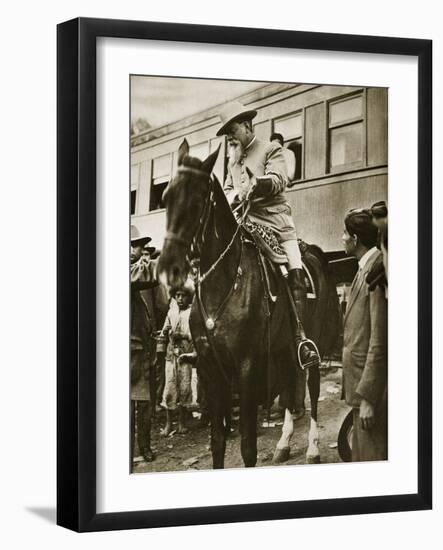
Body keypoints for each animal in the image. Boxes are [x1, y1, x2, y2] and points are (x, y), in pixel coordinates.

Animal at [159, 140, 340, 468]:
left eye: (197, 198)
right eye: (166, 197)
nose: (169, 268)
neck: (226, 280)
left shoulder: (247, 366)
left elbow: (247, 447)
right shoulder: (211, 368)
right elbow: (218, 443)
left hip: (312, 344)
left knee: (310, 387)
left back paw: (313, 448)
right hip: (283, 349)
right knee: (290, 389)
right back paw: (283, 443)